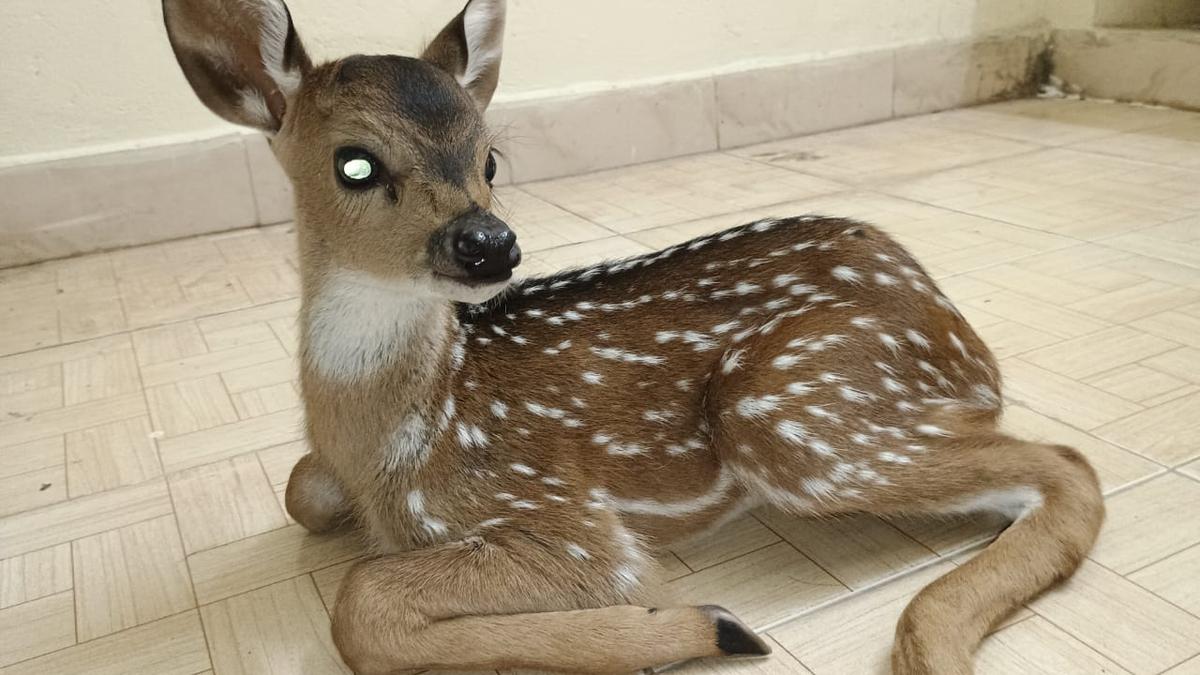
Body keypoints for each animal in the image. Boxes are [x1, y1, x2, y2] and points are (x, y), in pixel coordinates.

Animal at [164, 0, 1108, 667]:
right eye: (354, 162)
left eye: (490, 157)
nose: (489, 242)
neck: (400, 433)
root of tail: (959, 331)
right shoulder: (331, 478)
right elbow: (301, 489)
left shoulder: (570, 523)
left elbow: (361, 604)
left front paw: (704, 622)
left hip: (787, 405)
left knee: (1068, 463)